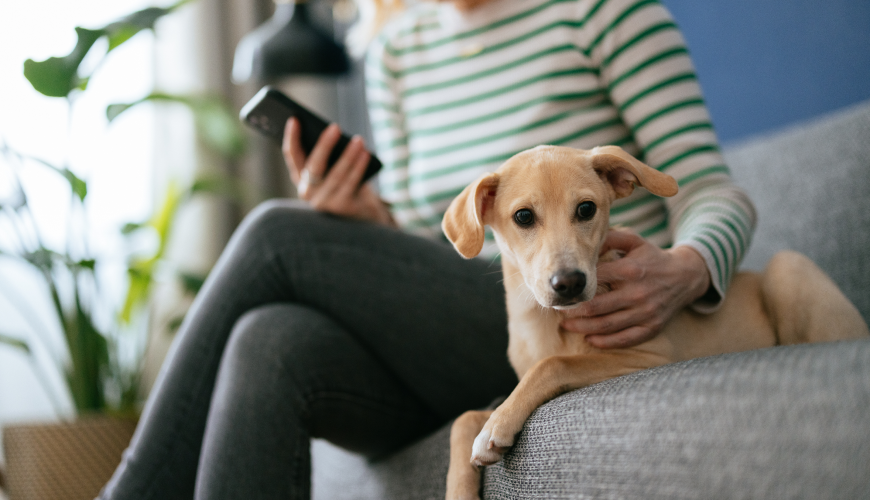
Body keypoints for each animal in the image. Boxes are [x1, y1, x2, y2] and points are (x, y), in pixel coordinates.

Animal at [442, 145, 870, 500]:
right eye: (523, 217)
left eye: (586, 209)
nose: (570, 283)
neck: (545, 322)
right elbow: (465, 418)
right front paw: (465, 477)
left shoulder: (648, 357)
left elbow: (553, 364)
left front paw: (498, 427)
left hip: (788, 266)